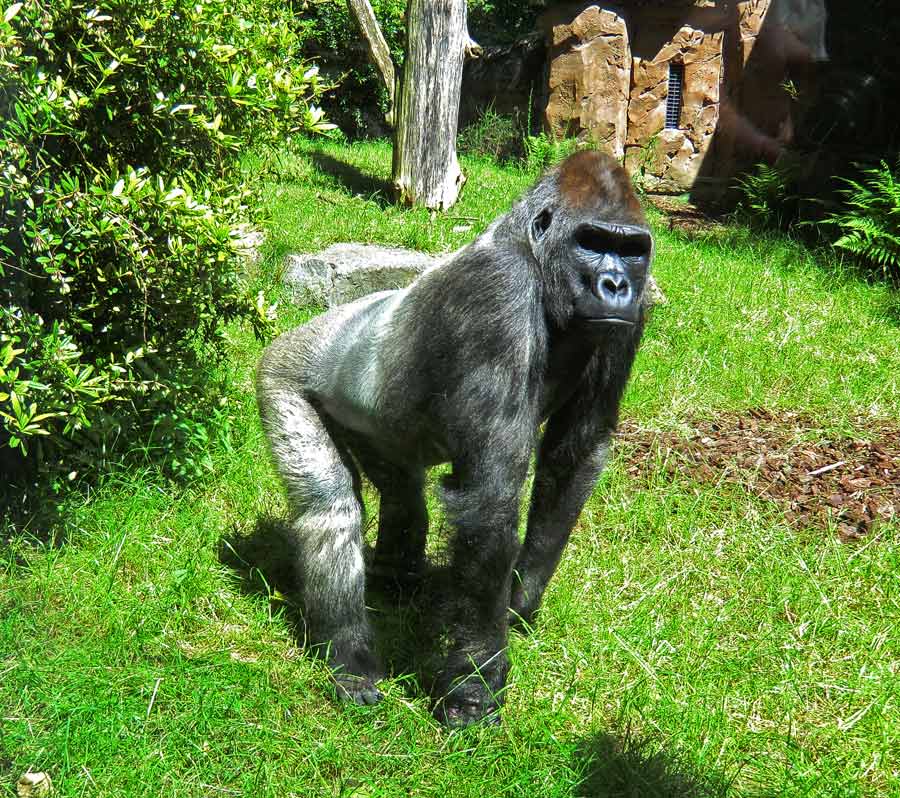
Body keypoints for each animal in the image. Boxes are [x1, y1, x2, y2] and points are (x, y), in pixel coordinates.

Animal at [256, 150, 652, 732]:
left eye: (632, 249)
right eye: (593, 240)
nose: (616, 285)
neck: (533, 253)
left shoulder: (634, 315)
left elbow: (574, 454)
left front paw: (520, 599)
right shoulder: (497, 293)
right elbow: (489, 501)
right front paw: (475, 682)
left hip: (372, 423)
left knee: (401, 494)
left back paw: (395, 577)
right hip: (281, 374)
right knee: (330, 509)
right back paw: (349, 655)